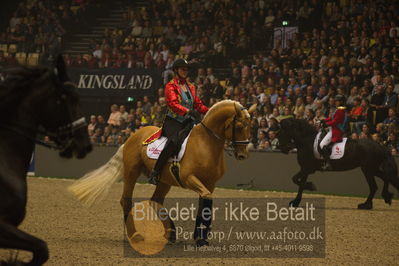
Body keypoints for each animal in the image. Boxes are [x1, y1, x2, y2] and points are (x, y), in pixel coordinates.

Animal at [69, 100, 250, 245]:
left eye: (250, 126)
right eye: (239, 126)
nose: (243, 155)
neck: (206, 143)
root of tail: (131, 137)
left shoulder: (209, 184)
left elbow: (204, 204)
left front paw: (200, 237)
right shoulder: (189, 178)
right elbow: (205, 200)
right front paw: (201, 238)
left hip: (164, 180)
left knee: (155, 201)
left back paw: (171, 233)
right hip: (132, 173)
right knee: (126, 201)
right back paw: (134, 235)